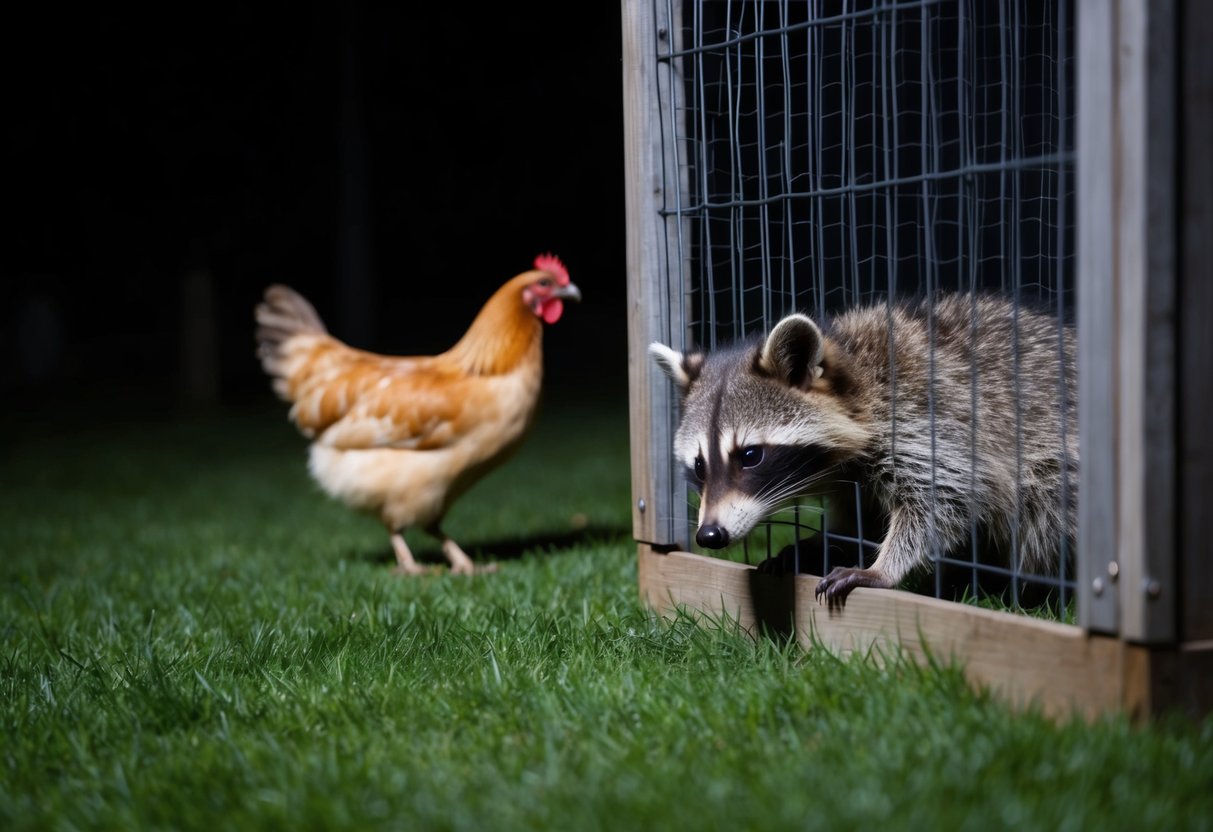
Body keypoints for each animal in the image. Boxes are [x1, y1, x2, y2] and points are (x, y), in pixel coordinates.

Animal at [650, 294, 1078, 605]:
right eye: (699, 465)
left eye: (750, 455)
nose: (709, 535)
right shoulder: (852, 476)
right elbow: (862, 519)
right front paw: (826, 543)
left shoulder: (924, 419)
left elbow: (949, 494)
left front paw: (885, 566)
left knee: (1049, 504)